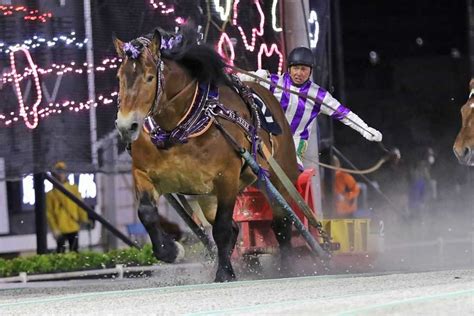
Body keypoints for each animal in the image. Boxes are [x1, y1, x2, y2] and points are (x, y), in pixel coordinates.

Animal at [113, 29, 298, 282]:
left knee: (282, 223)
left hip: (278, 176)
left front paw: (224, 272)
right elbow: (146, 213)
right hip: (207, 196)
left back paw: (288, 267)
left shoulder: (227, 178)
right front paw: (171, 251)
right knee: (235, 227)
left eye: (150, 78)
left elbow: (221, 228)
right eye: (120, 77)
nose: (126, 126)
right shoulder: (143, 173)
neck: (178, 130)